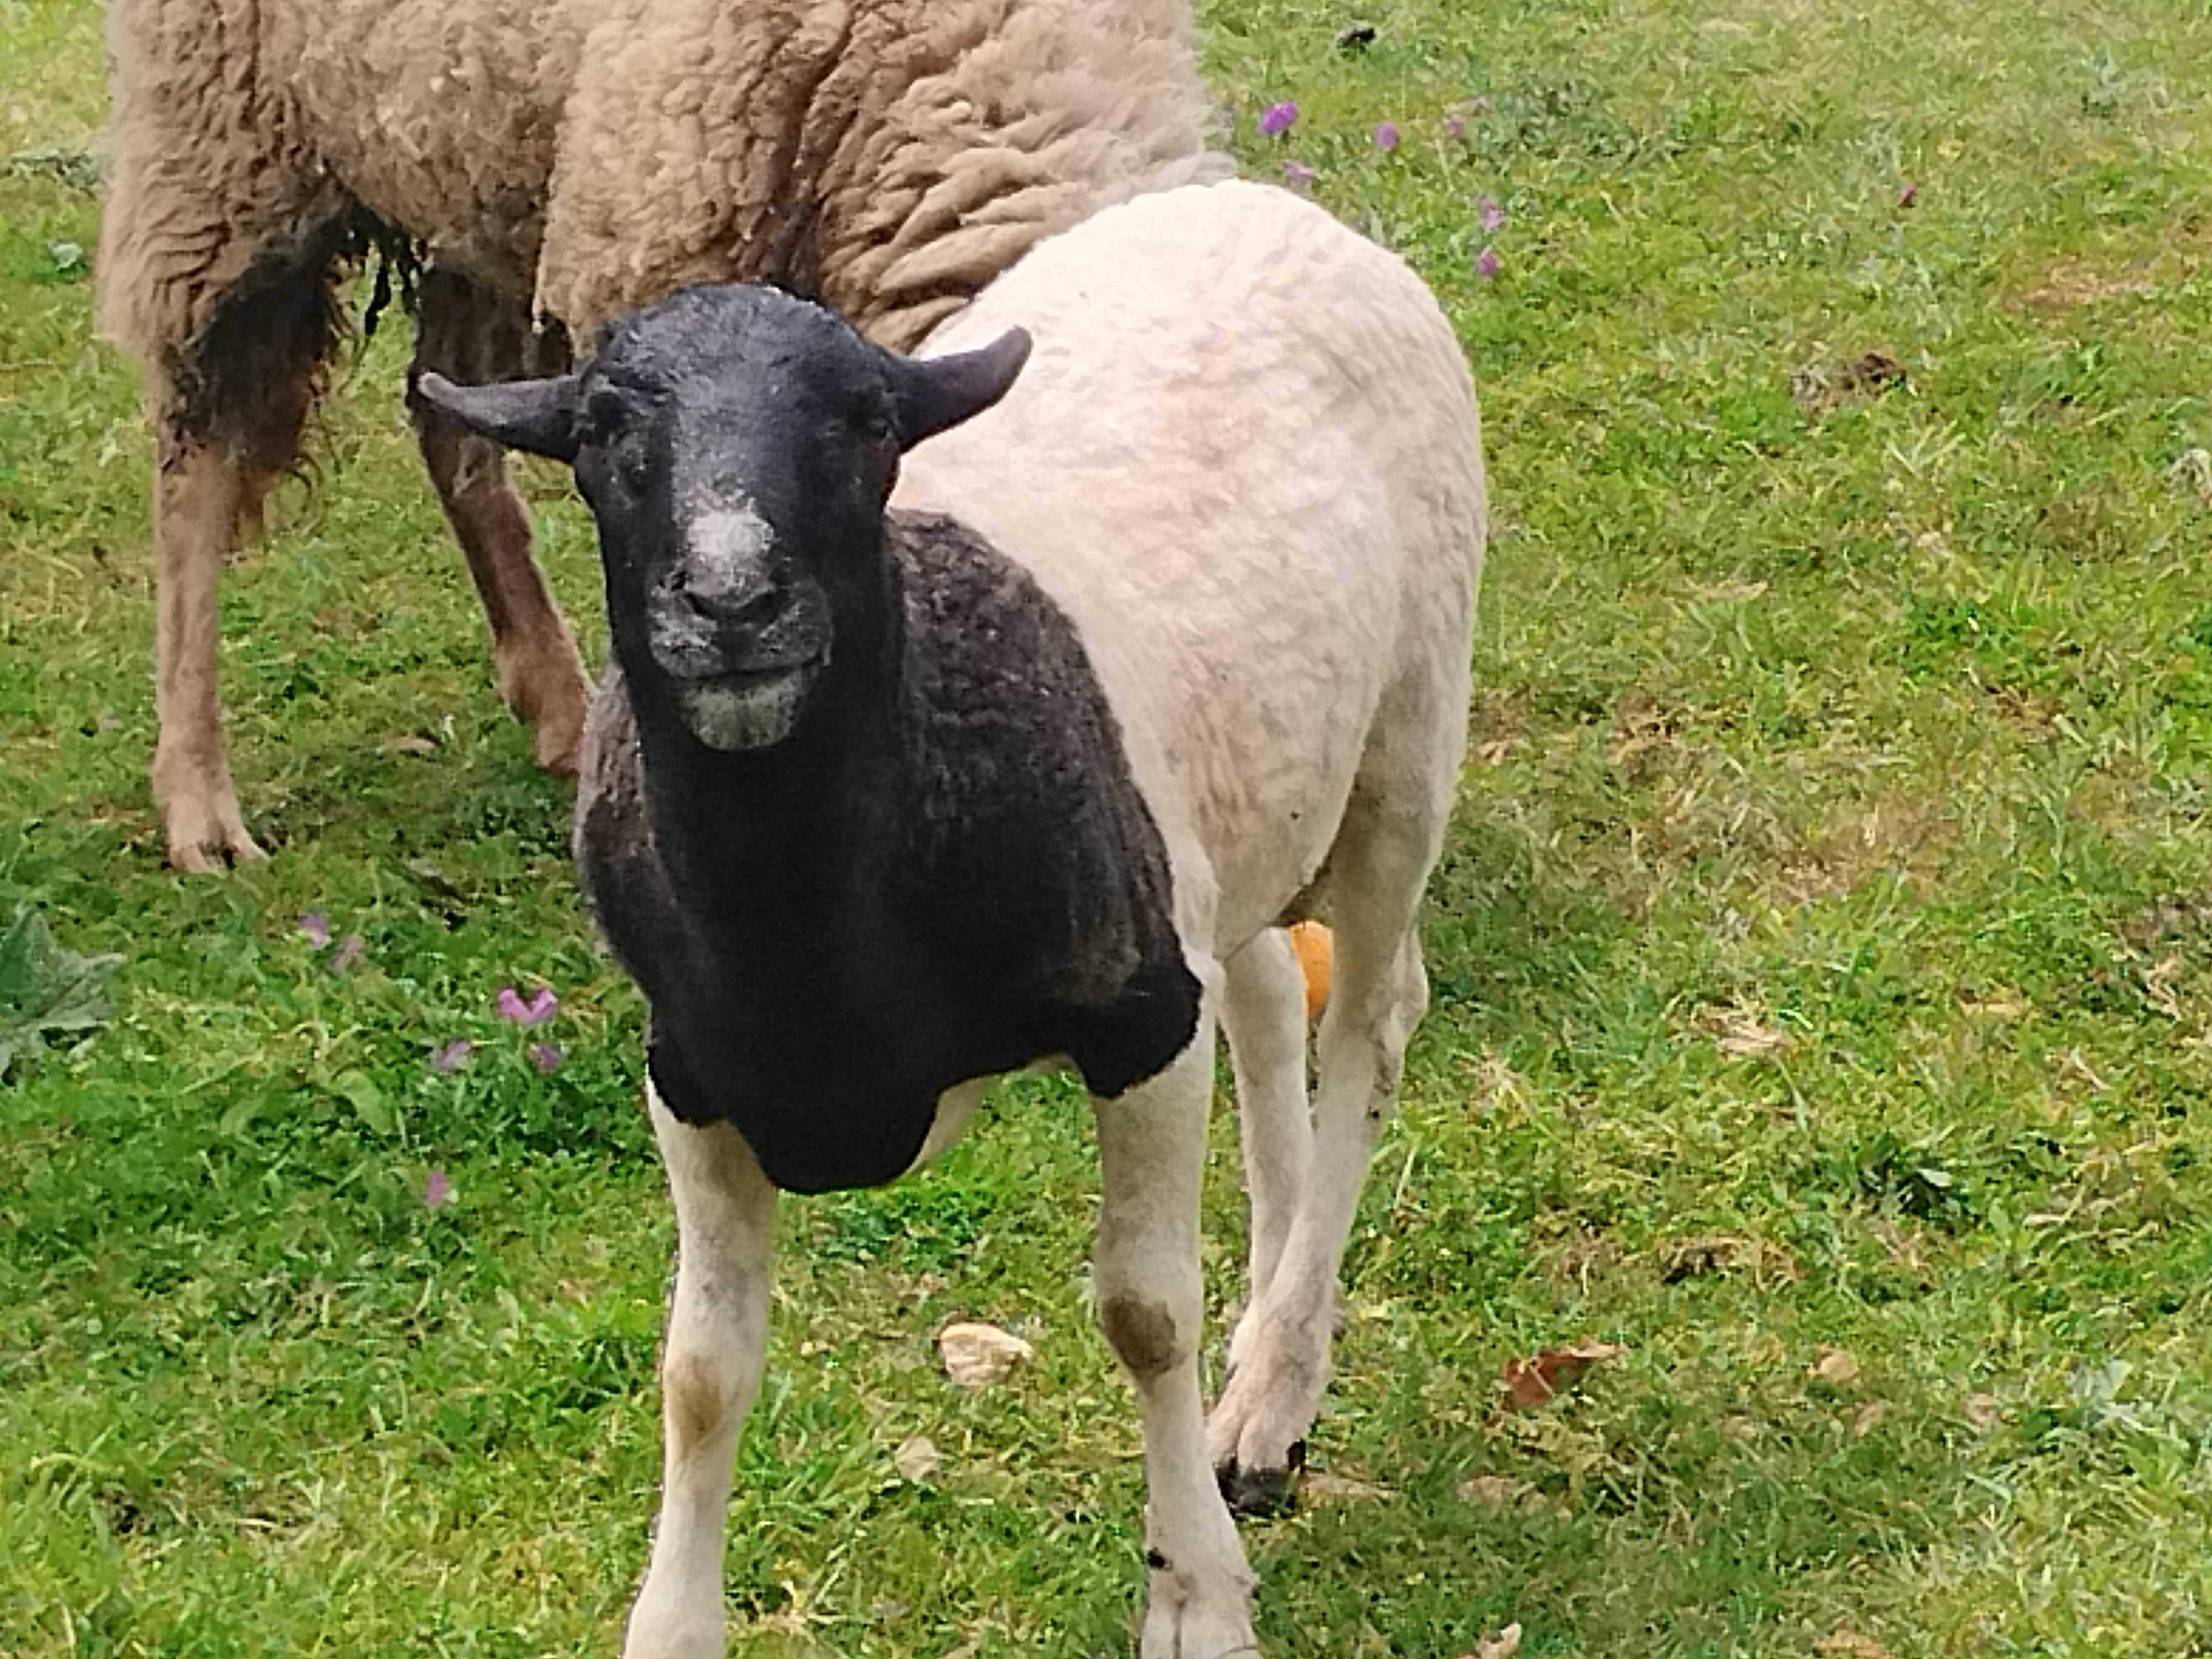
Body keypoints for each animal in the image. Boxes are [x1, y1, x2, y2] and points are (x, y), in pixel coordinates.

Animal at [95, 0, 1221, 876]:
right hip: (224, 146)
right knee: (195, 466)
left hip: (477, 152)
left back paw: (555, 701)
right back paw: (199, 801)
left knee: (446, 417)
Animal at [416, 181, 1486, 1659]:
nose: (732, 603)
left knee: (1366, 1034)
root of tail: (1261, 200)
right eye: (599, 432)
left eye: (866, 421)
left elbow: (1143, 1314)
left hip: (1402, 742)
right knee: (1273, 995)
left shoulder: (1142, 1020)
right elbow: (699, 1370)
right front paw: (671, 1622)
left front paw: (1194, 1597)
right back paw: (1269, 1327)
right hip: (1238, 807)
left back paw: (1273, 1388)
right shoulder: (688, 1077)